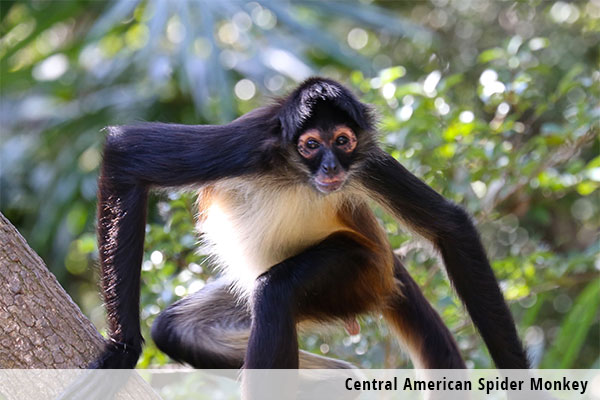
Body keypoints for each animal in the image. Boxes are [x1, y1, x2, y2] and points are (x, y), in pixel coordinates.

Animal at [91, 77, 528, 372]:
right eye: (312, 145)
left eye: (343, 141)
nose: (332, 167)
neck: (295, 174)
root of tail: (388, 265)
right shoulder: (247, 145)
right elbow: (126, 155)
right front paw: (125, 349)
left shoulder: (366, 161)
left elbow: (449, 225)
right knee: (179, 328)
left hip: (357, 275)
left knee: (275, 291)